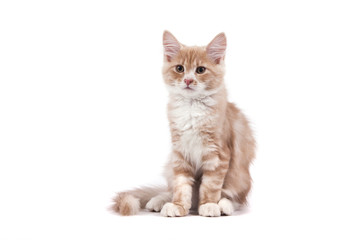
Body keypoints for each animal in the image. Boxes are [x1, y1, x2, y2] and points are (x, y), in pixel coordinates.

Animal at [112, 31, 256, 217]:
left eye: (200, 70)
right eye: (179, 68)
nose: (187, 80)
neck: (191, 108)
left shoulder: (218, 154)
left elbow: (211, 185)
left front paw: (209, 204)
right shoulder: (180, 153)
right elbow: (181, 186)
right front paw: (178, 206)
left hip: (240, 178)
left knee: (236, 198)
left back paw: (225, 205)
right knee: (171, 190)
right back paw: (159, 201)